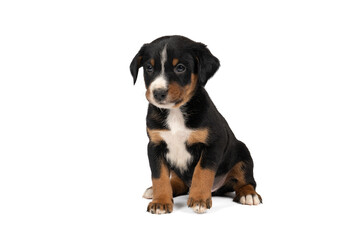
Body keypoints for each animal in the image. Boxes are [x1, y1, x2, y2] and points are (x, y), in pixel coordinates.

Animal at [129, 35, 262, 214]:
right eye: (149, 68)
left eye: (180, 67)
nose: (158, 93)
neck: (175, 112)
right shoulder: (155, 145)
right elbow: (159, 176)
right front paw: (160, 201)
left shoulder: (213, 144)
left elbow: (202, 172)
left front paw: (199, 199)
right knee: (179, 183)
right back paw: (156, 190)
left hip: (242, 153)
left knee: (247, 181)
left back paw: (248, 194)